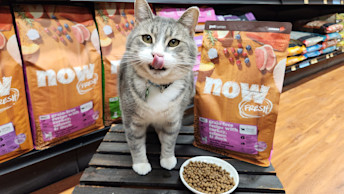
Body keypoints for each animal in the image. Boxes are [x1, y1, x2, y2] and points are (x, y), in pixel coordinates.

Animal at [118, 0, 199, 176]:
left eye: (174, 42)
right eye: (147, 38)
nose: (157, 55)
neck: (158, 86)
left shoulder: (174, 119)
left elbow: (169, 140)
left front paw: (167, 158)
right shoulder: (131, 120)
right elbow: (136, 143)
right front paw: (141, 164)